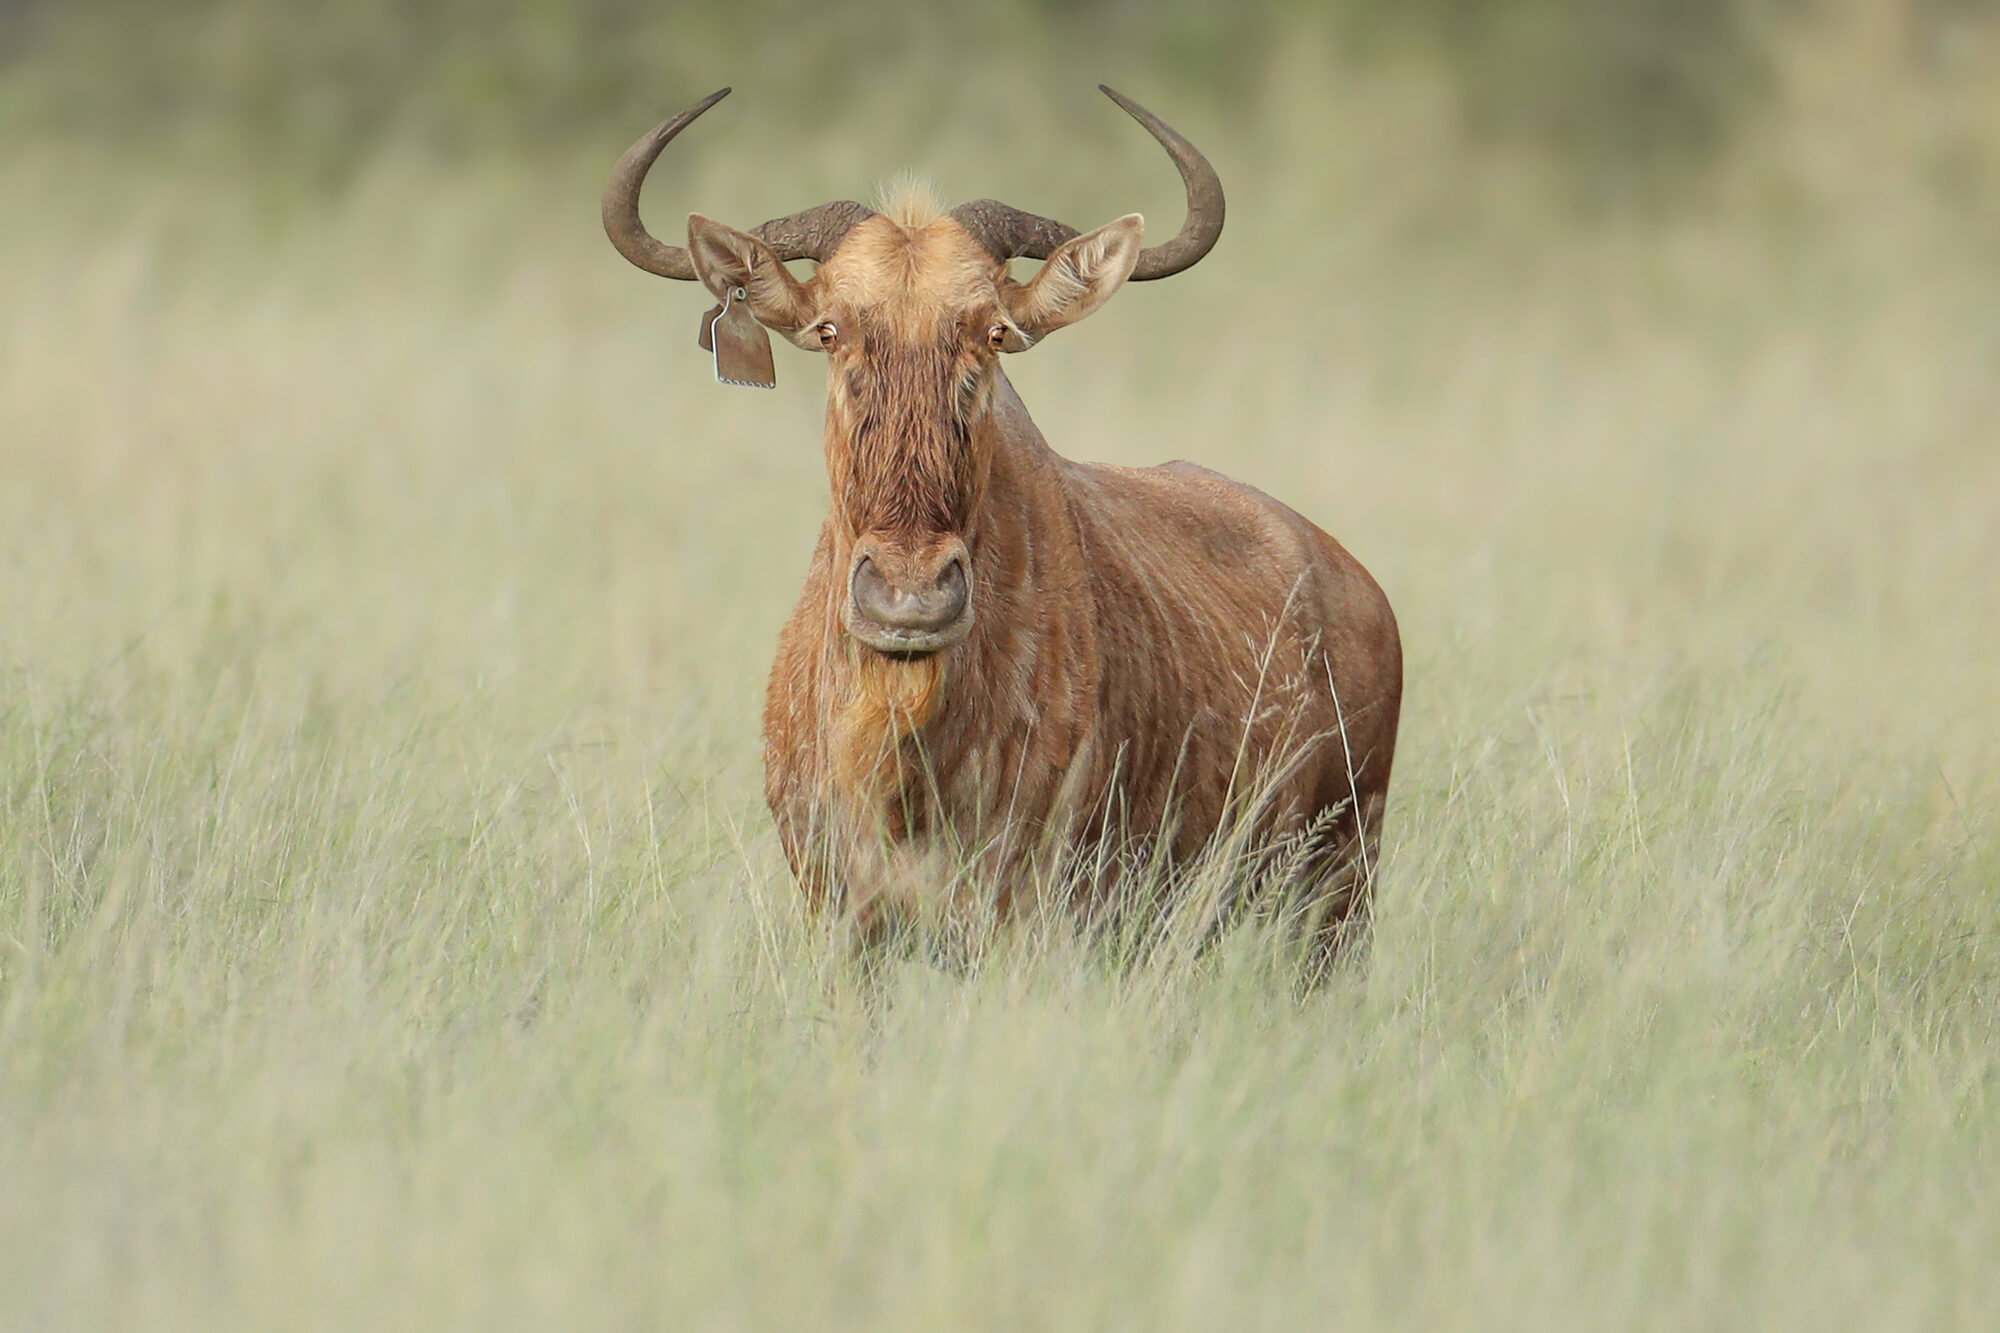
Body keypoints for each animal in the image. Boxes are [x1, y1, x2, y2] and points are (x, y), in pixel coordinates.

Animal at [604, 87, 1402, 966]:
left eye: (992, 331)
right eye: (830, 330)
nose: (910, 596)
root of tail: (1352, 579)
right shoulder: (847, 920)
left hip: (1337, 897)